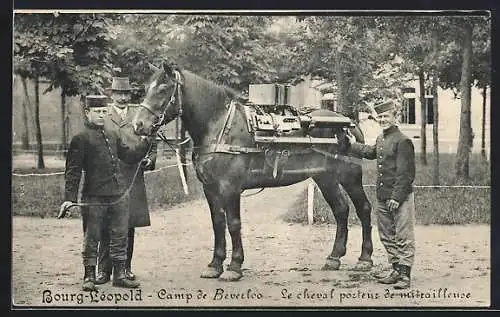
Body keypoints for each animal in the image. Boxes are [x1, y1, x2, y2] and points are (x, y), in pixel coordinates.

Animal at [131, 62, 374, 282]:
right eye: (146, 88)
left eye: (163, 89)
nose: (138, 125)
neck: (219, 126)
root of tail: (350, 125)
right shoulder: (211, 189)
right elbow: (218, 223)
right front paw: (215, 265)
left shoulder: (230, 188)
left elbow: (233, 224)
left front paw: (234, 267)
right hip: (325, 178)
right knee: (341, 210)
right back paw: (334, 258)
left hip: (349, 177)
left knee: (363, 208)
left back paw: (365, 258)